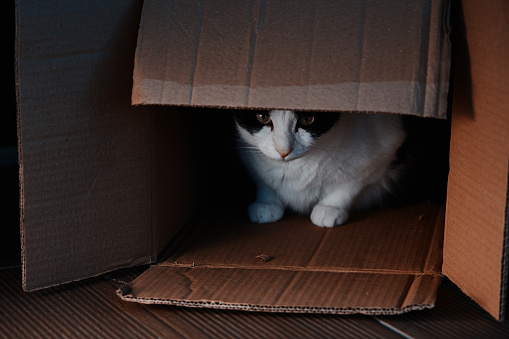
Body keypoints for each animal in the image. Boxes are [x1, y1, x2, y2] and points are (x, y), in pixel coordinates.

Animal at [232, 110, 406, 228]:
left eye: (307, 119)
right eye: (262, 117)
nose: (283, 151)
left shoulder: (387, 146)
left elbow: (353, 184)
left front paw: (330, 208)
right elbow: (263, 180)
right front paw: (266, 203)